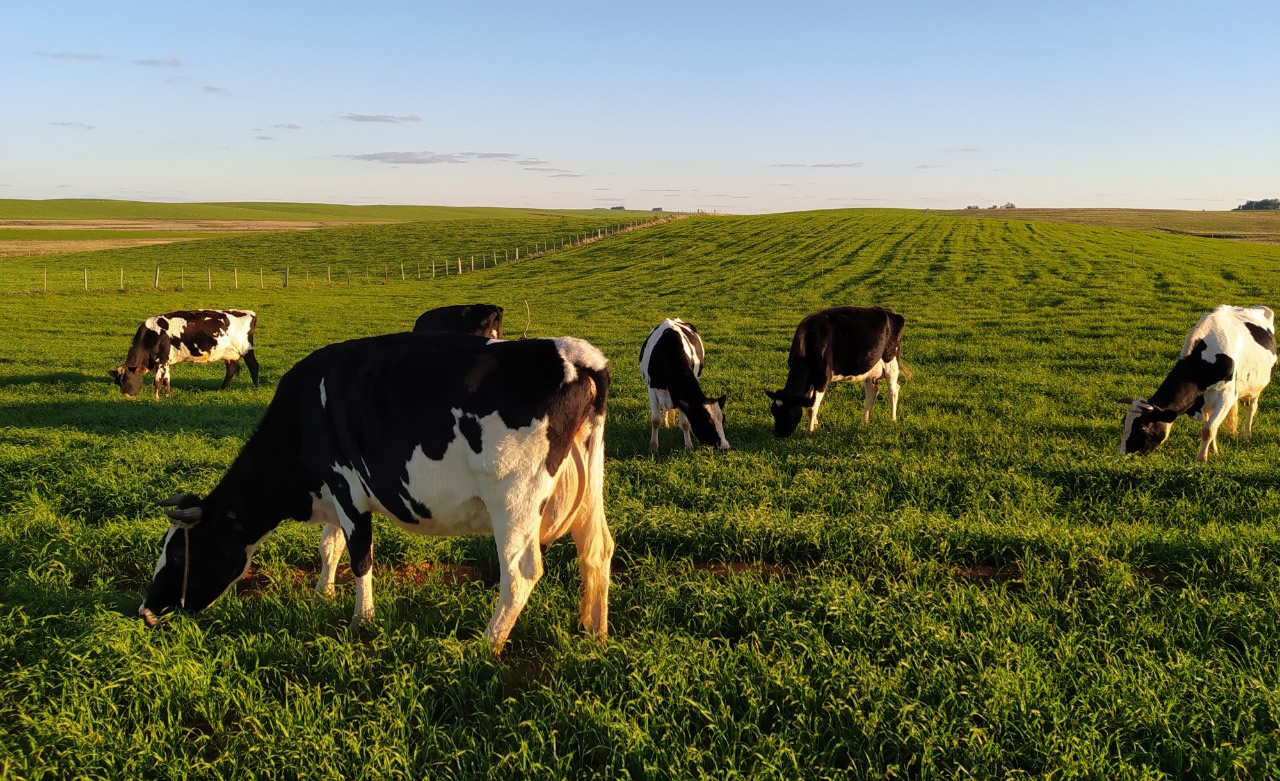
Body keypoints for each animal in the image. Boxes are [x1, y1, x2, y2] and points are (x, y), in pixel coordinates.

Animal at [111, 307, 258, 399]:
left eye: (128, 379)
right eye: (118, 382)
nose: (126, 396)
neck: (152, 335)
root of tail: (248, 313)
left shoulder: (162, 360)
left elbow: (158, 381)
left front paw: (156, 399)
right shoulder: (166, 362)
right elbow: (167, 380)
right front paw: (167, 397)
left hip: (246, 348)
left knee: (253, 366)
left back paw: (255, 388)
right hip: (228, 353)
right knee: (231, 369)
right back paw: (221, 389)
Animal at [138, 326, 614, 650]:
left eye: (177, 553)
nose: (145, 610)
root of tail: (578, 354)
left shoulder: (349, 490)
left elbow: (360, 556)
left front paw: (361, 619)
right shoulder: (333, 490)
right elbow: (329, 546)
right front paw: (322, 593)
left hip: (514, 500)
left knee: (520, 571)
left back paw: (487, 644)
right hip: (589, 489)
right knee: (596, 551)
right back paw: (594, 632)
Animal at [634, 316, 727, 450]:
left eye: (723, 420)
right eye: (707, 422)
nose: (725, 446)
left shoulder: (681, 396)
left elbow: (685, 423)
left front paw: (688, 446)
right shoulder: (652, 387)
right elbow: (655, 420)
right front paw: (653, 447)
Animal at [762, 305, 906, 437]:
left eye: (787, 412)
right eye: (773, 411)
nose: (778, 434)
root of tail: (889, 310)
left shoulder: (823, 378)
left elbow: (811, 407)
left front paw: (809, 432)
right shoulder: (812, 379)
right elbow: (810, 402)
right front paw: (815, 424)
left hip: (891, 361)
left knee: (893, 390)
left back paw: (892, 419)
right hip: (869, 366)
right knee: (872, 392)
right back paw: (865, 421)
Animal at [1116, 304, 1274, 460]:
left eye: (1142, 427)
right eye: (1124, 421)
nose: (1123, 453)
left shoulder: (1227, 396)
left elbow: (1208, 429)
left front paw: (1201, 459)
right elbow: (1212, 427)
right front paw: (1213, 451)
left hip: (1255, 389)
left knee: (1251, 408)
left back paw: (1247, 435)